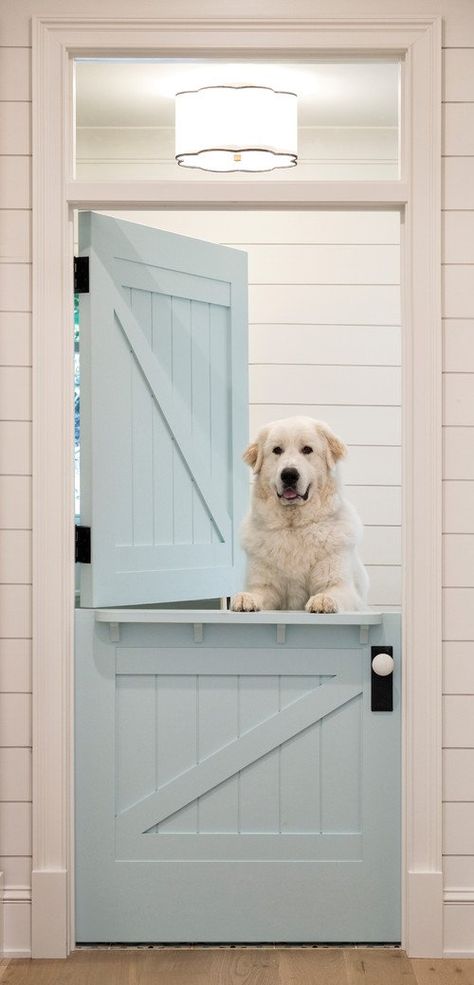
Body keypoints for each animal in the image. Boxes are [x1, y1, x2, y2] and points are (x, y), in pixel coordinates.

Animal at [231, 414, 368, 612]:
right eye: (277, 450)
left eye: (307, 449)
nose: (289, 475)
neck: (294, 527)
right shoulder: (266, 586)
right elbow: (258, 593)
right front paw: (245, 598)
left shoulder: (340, 585)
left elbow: (332, 592)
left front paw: (323, 600)